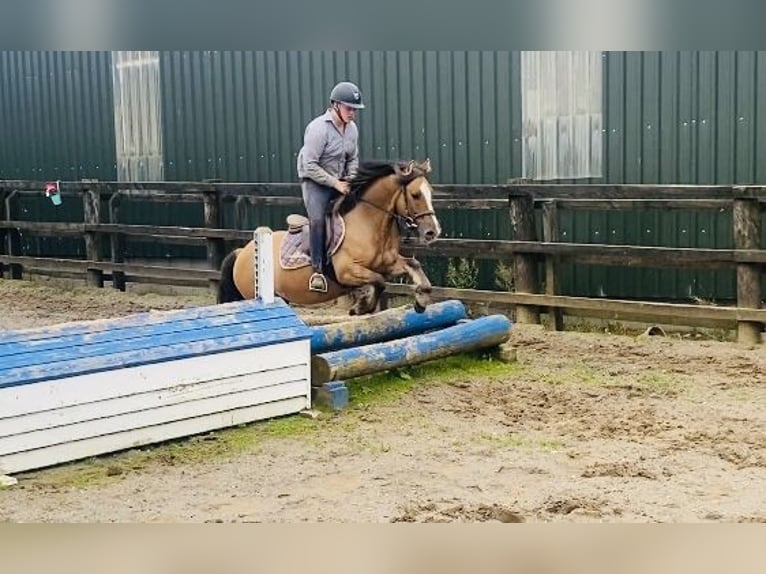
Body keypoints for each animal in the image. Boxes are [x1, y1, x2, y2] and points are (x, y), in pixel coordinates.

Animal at [216, 159, 444, 316]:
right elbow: (379, 282)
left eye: (431, 192)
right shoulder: (347, 272)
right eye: (415, 195)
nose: (433, 232)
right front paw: (361, 308)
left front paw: (421, 302)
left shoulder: (388, 263)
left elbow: (414, 267)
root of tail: (242, 252)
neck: (369, 225)